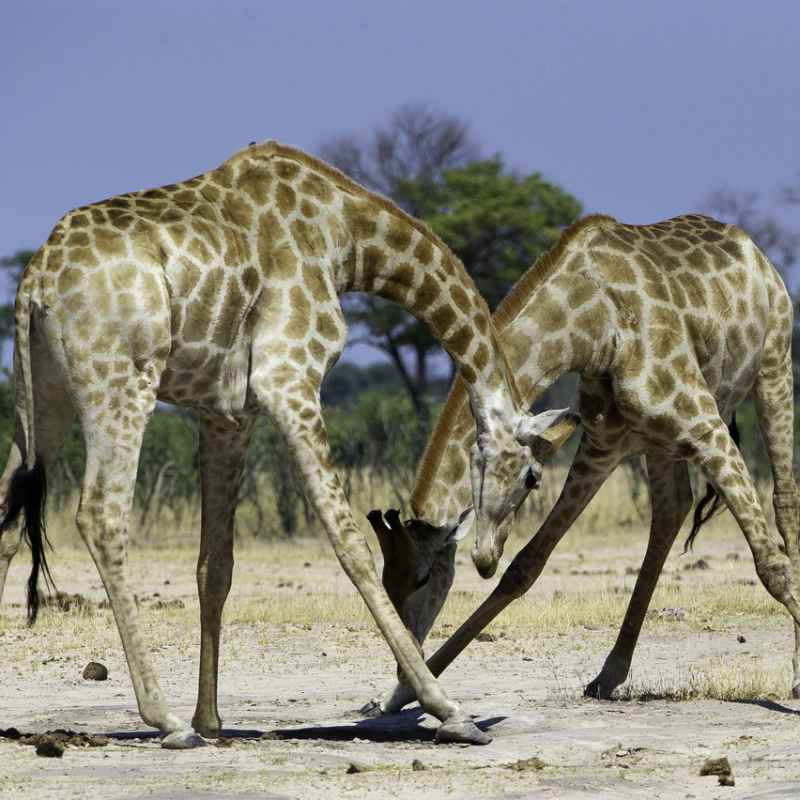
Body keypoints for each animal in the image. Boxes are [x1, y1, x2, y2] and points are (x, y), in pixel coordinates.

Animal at [0, 141, 571, 747]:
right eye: (533, 476)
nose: (488, 557)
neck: (345, 238)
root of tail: (35, 279)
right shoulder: (290, 379)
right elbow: (349, 543)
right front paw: (450, 711)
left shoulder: (226, 413)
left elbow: (215, 565)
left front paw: (212, 720)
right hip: (121, 380)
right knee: (101, 516)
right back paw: (166, 720)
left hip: (44, 397)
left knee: (8, 520)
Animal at [365, 213, 800, 715]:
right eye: (387, 580)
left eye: (422, 578)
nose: (483, 557)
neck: (594, 327)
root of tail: (752, 247)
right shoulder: (601, 445)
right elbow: (525, 566)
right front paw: (400, 693)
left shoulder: (705, 426)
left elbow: (771, 564)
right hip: (656, 441)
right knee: (671, 509)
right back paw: (608, 674)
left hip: (773, 362)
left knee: (784, 499)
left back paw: (793, 676)